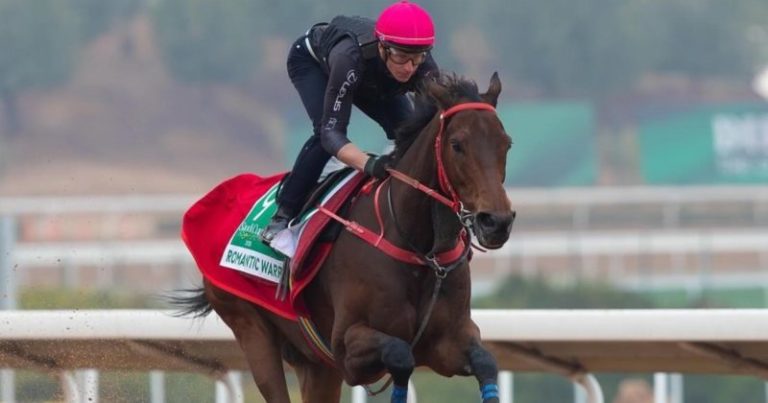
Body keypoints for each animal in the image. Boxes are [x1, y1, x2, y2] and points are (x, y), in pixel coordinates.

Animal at [176, 73, 516, 403]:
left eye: (507, 143)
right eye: (457, 144)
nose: (496, 221)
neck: (418, 250)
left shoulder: (448, 343)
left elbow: (486, 361)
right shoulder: (345, 350)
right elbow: (400, 354)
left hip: (314, 363)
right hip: (250, 327)